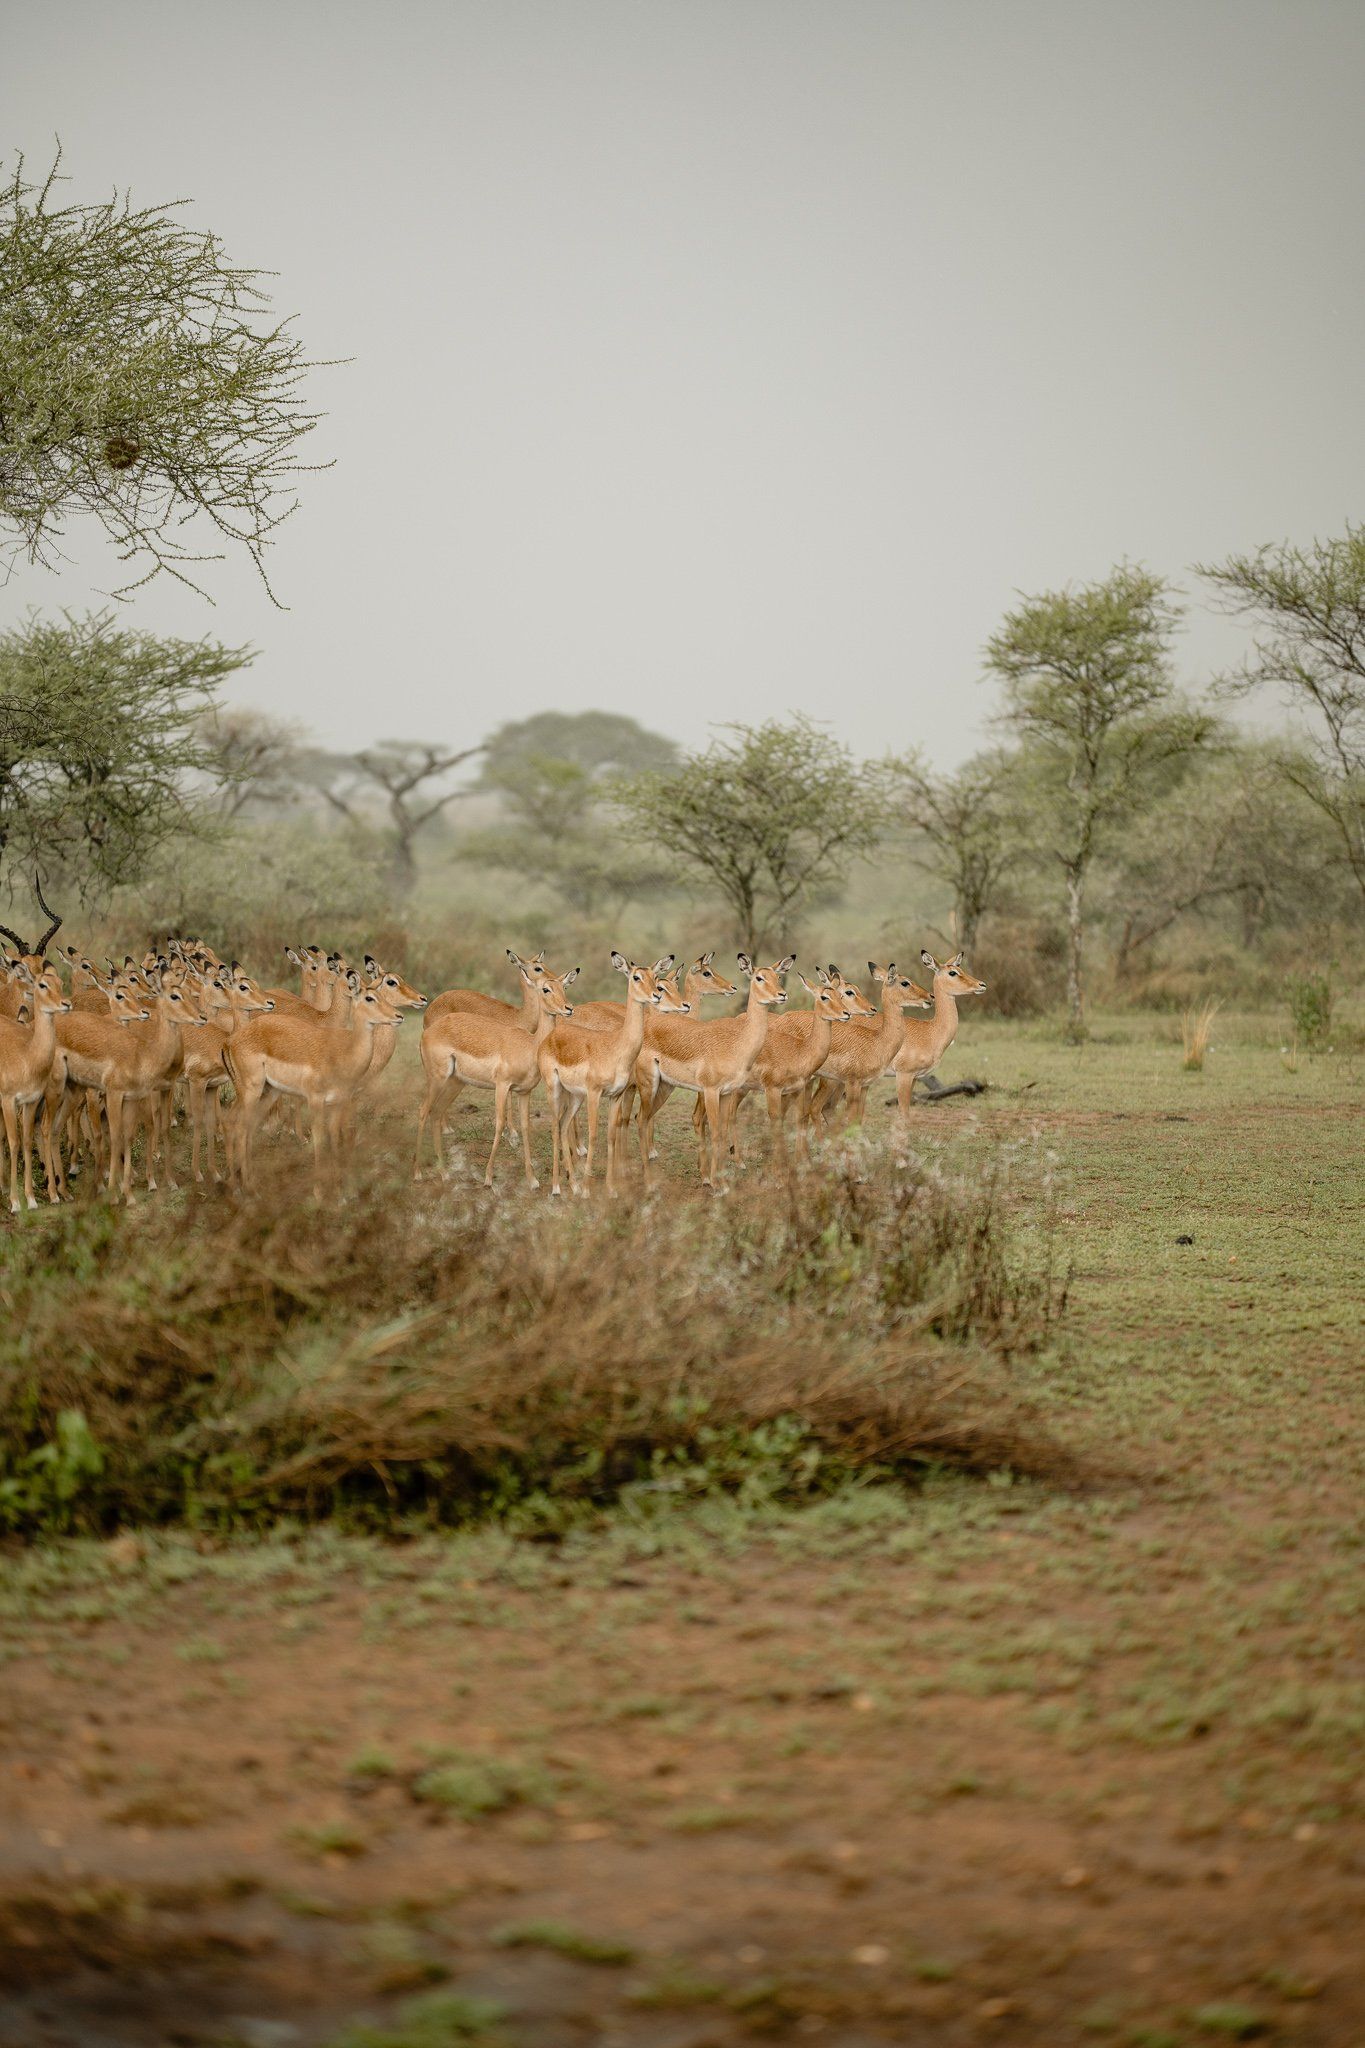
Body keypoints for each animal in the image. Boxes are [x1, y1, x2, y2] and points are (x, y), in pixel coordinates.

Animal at [0, 963, 72, 1211]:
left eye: (61, 982)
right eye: (42, 984)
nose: (66, 1003)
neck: (27, 1056)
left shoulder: (30, 1102)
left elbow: (27, 1141)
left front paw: (31, 1199)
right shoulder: (9, 1101)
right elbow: (14, 1143)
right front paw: (15, 1203)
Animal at [414, 962, 577, 1186]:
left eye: (564, 987)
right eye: (546, 989)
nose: (568, 1008)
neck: (530, 1045)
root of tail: (427, 1032)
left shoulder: (524, 1092)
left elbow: (525, 1127)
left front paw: (532, 1180)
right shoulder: (502, 1086)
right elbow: (499, 1124)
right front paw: (488, 1177)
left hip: (455, 1083)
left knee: (436, 1113)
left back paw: (444, 1173)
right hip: (437, 1079)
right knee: (423, 1111)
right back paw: (418, 1173)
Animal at [539, 956, 687, 1198]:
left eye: (655, 977)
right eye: (636, 976)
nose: (655, 995)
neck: (616, 1047)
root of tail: (551, 1036)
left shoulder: (616, 1095)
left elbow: (611, 1135)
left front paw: (611, 1188)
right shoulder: (595, 1094)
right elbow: (594, 1135)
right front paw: (589, 1189)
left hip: (575, 1097)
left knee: (562, 1125)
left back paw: (573, 1185)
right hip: (555, 1090)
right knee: (554, 1128)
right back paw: (557, 1188)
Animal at [634, 955, 793, 1187]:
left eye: (778, 977)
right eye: (759, 977)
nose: (782, 994)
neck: (736, 1044)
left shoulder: (726, 1093)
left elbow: (722, 1134)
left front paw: (720, 1180)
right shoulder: (710, 1091)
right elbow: (715, 1133)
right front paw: (716, 1183)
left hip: (665, 1087)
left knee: (643, 1118)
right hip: (648, 1085)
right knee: (640, 1119)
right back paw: (648, 1180)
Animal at [886, 949, 988, 1112]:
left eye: (960, 969)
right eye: (952, 972)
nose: (982, 984)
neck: (930, 1030)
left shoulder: (914, 1076)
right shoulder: (904, 1074)